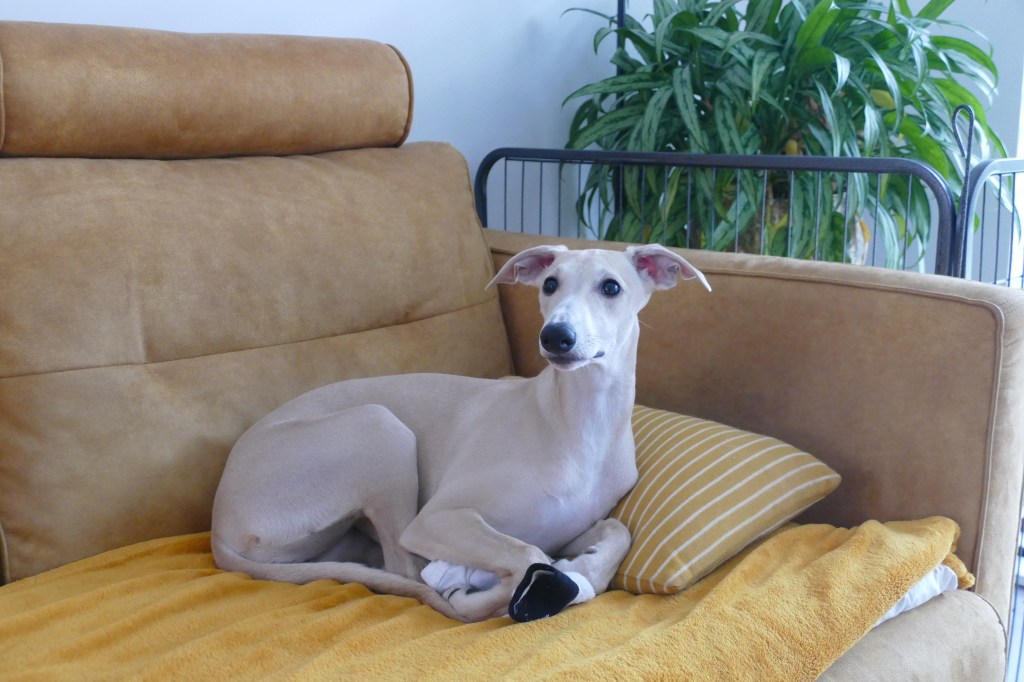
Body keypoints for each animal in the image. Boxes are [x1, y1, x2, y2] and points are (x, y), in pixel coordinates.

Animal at [211, 243, 710, 622]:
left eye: (611, 287)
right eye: (550, 284)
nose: (555, 337)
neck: (575, 423)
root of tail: (218, 527)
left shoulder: (569, 527)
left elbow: (615, 530)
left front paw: (584, 566)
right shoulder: (439, 519)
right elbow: (527, 553)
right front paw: (541, 583)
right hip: (379, 427)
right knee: (408, 569)